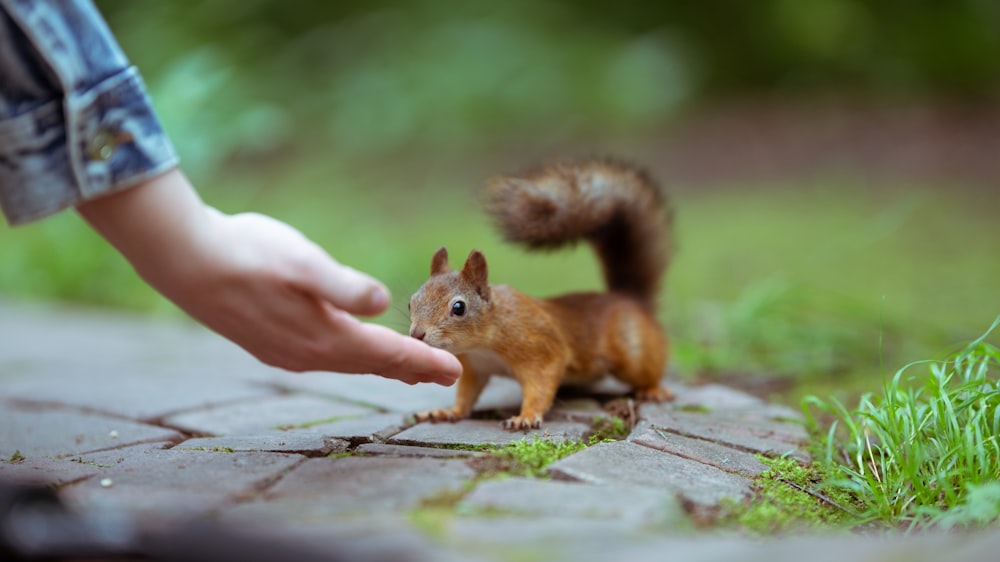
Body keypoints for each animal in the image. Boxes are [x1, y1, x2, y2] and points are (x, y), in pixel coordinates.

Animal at [410, 158, 676, 428]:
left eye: (458, 307)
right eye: (412, 302)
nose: (416, 334)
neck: (483, 342)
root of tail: (629, 298)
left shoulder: (541, 349)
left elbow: (541, 384)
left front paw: (525, 417)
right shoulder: (475, 367)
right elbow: (466, 394)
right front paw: (447, 412)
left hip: (634, 354)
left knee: (647, 370)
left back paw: (652, 390)